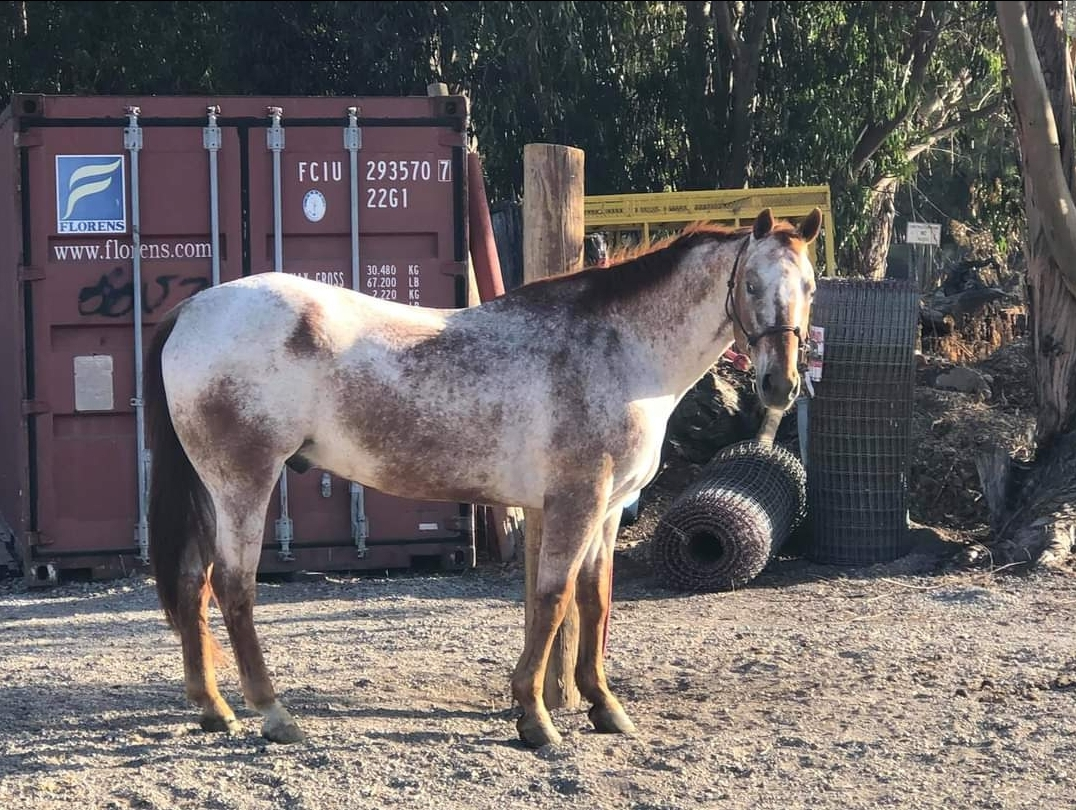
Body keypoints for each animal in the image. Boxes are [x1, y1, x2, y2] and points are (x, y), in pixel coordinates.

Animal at [143, 205, 822, 749]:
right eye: (752, 284)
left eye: (811, 288)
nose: (780, 384)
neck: (621, 352)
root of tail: (193, 309)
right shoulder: (577, 500)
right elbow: (552, 599)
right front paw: (535, 718)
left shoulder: (607, 508)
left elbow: (595, 600)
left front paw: (603, 706)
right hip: (244, 483)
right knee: (233, 587)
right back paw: (274, 714)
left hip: (212, 488)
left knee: (193, 583)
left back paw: (214, 709)